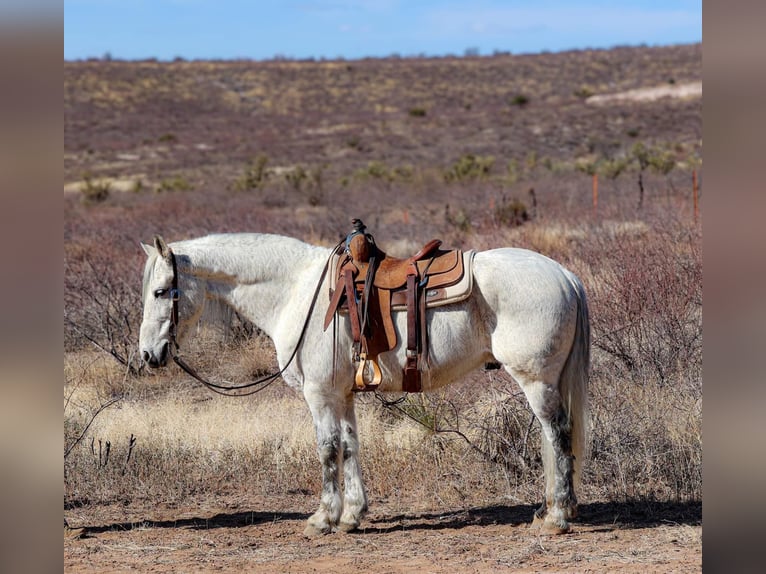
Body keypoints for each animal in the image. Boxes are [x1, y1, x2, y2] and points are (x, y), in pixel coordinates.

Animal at [138, 232, 590, 536]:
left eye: (160, 291)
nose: (147, 354)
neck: (296, 292)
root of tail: (565, 275)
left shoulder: (319, 396)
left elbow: (326, 450)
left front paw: (323, 518)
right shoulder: (343, 396)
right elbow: (351, 446)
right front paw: (353, 514)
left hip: (537, 381)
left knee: (558, 433)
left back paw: (557, 517)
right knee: (553, 438)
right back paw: (549, 509)